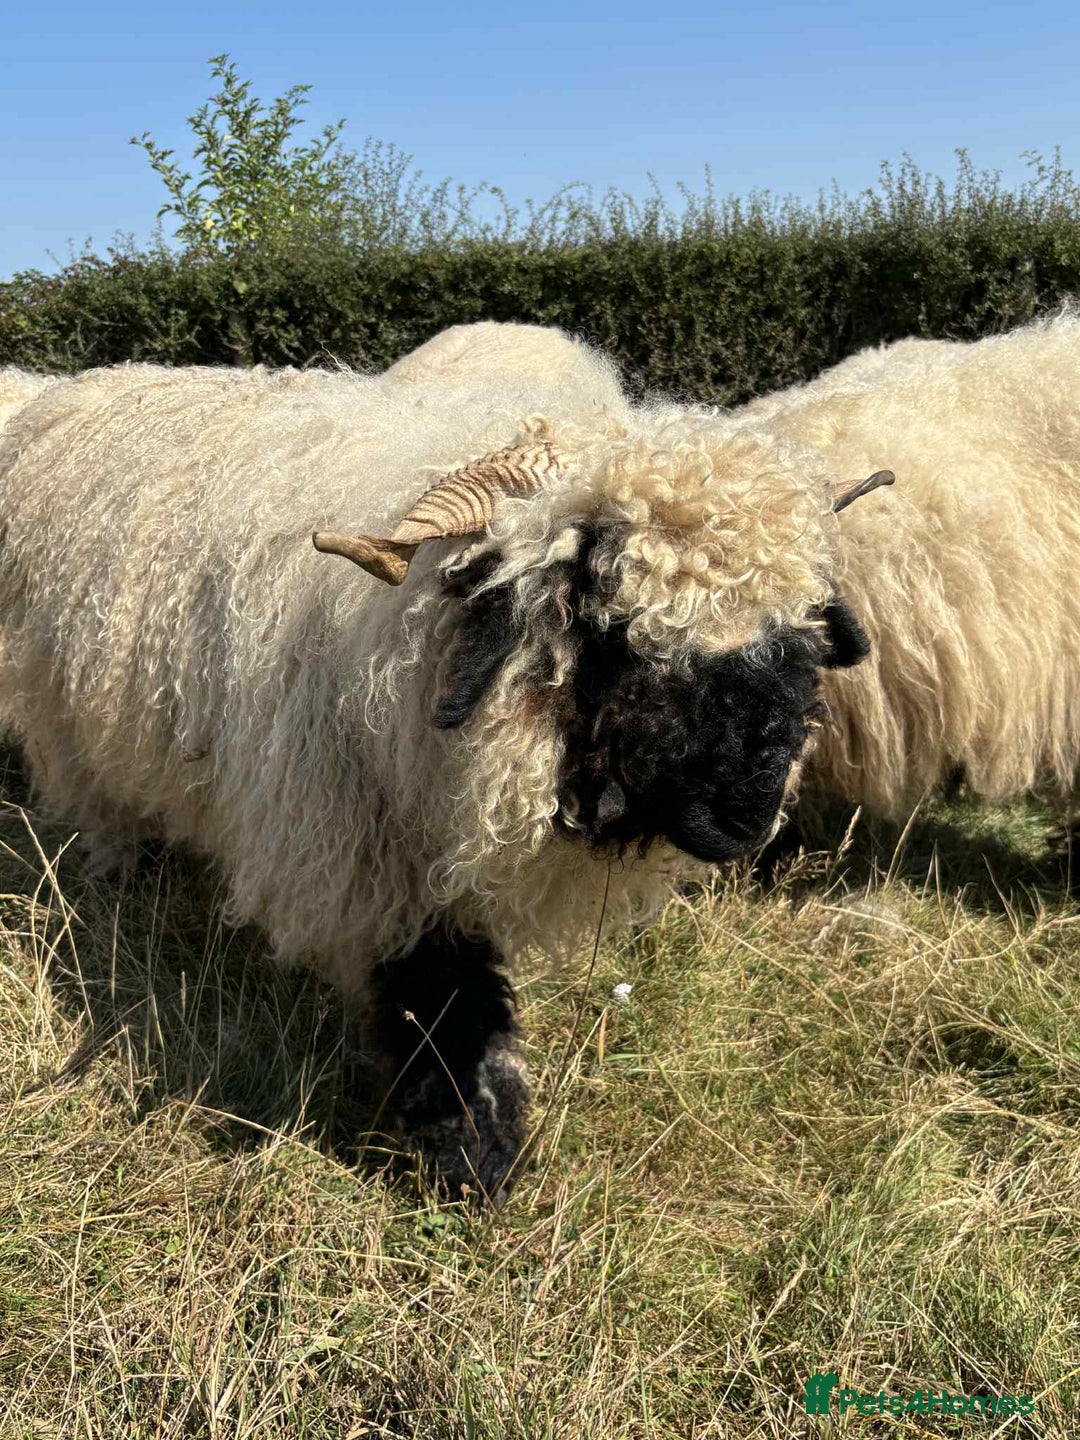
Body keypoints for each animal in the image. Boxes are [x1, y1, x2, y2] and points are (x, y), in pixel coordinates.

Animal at [0, 344, 877, 1199]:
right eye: (611, 628)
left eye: (799, 631)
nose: (746, 816)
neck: (411, 640)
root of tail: (88, 382)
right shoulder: (362, 850)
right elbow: (437, 992)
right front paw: (472, 1156)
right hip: (61, 712)